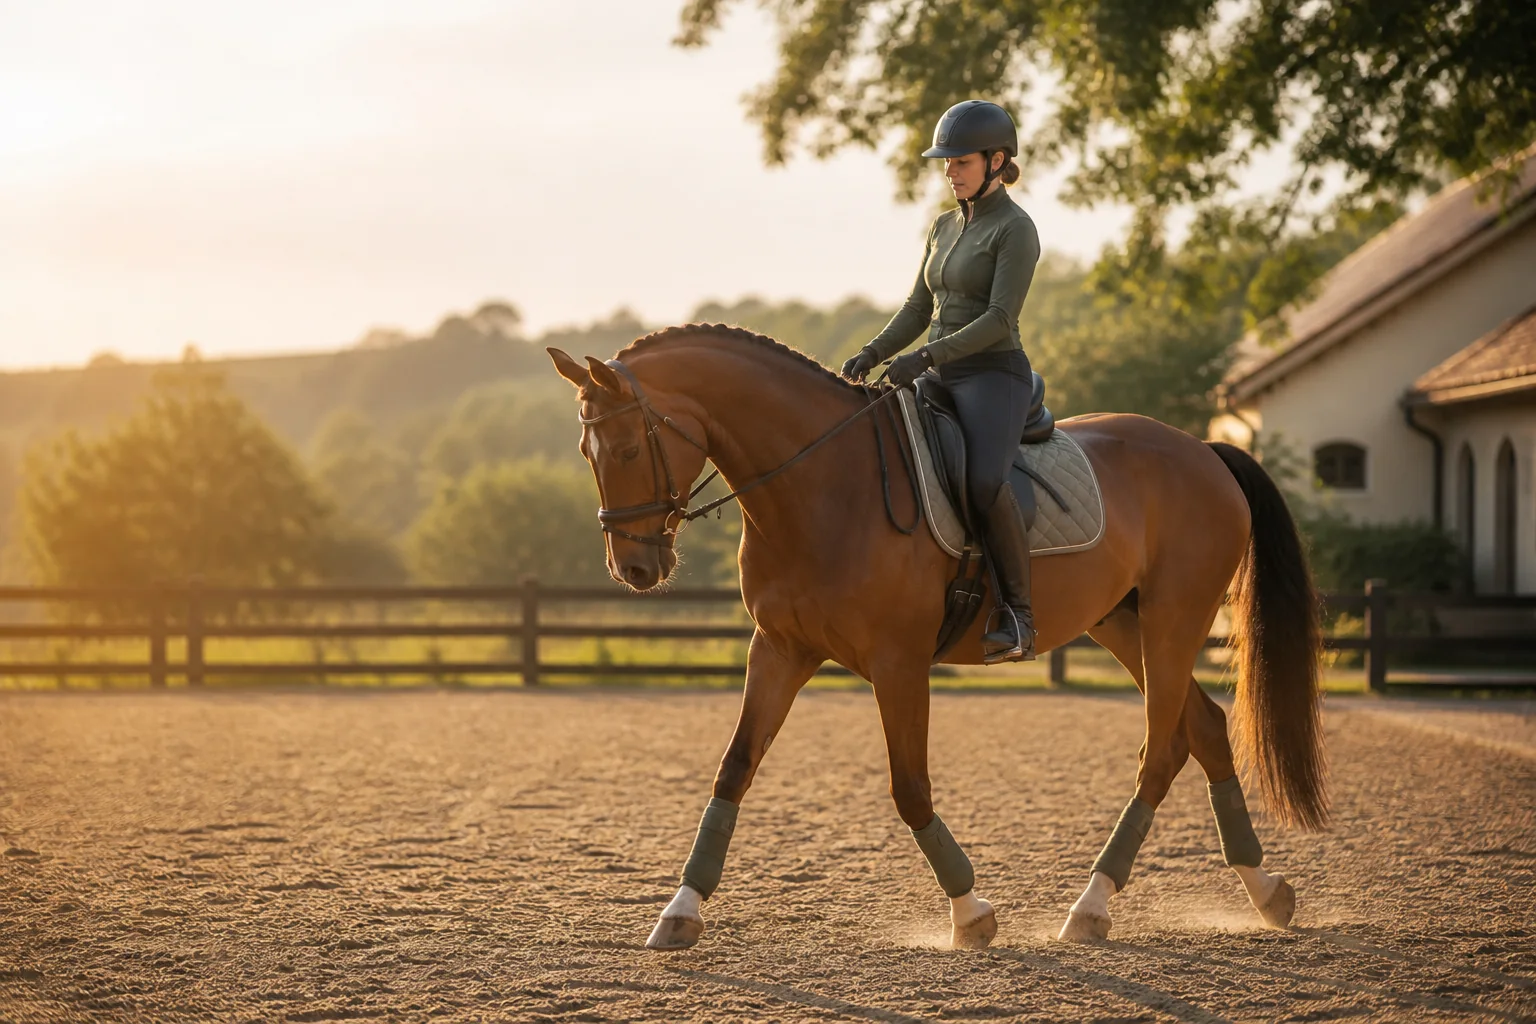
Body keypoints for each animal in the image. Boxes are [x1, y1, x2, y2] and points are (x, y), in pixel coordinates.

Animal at [546, 323, 1326, 950]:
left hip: (1173, 619)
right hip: (1124, 625)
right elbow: (734, 768)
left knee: (1162, 752)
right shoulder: (779, 649)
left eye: (625, 447)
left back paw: (1091, 908)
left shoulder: (899, 663)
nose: (635, 569)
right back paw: (1266, 894)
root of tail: (1204, 449)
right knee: (1205, 728)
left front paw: (971, 913)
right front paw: (679, 913)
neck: (821, 485)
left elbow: (910, 788)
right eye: (586, 449)